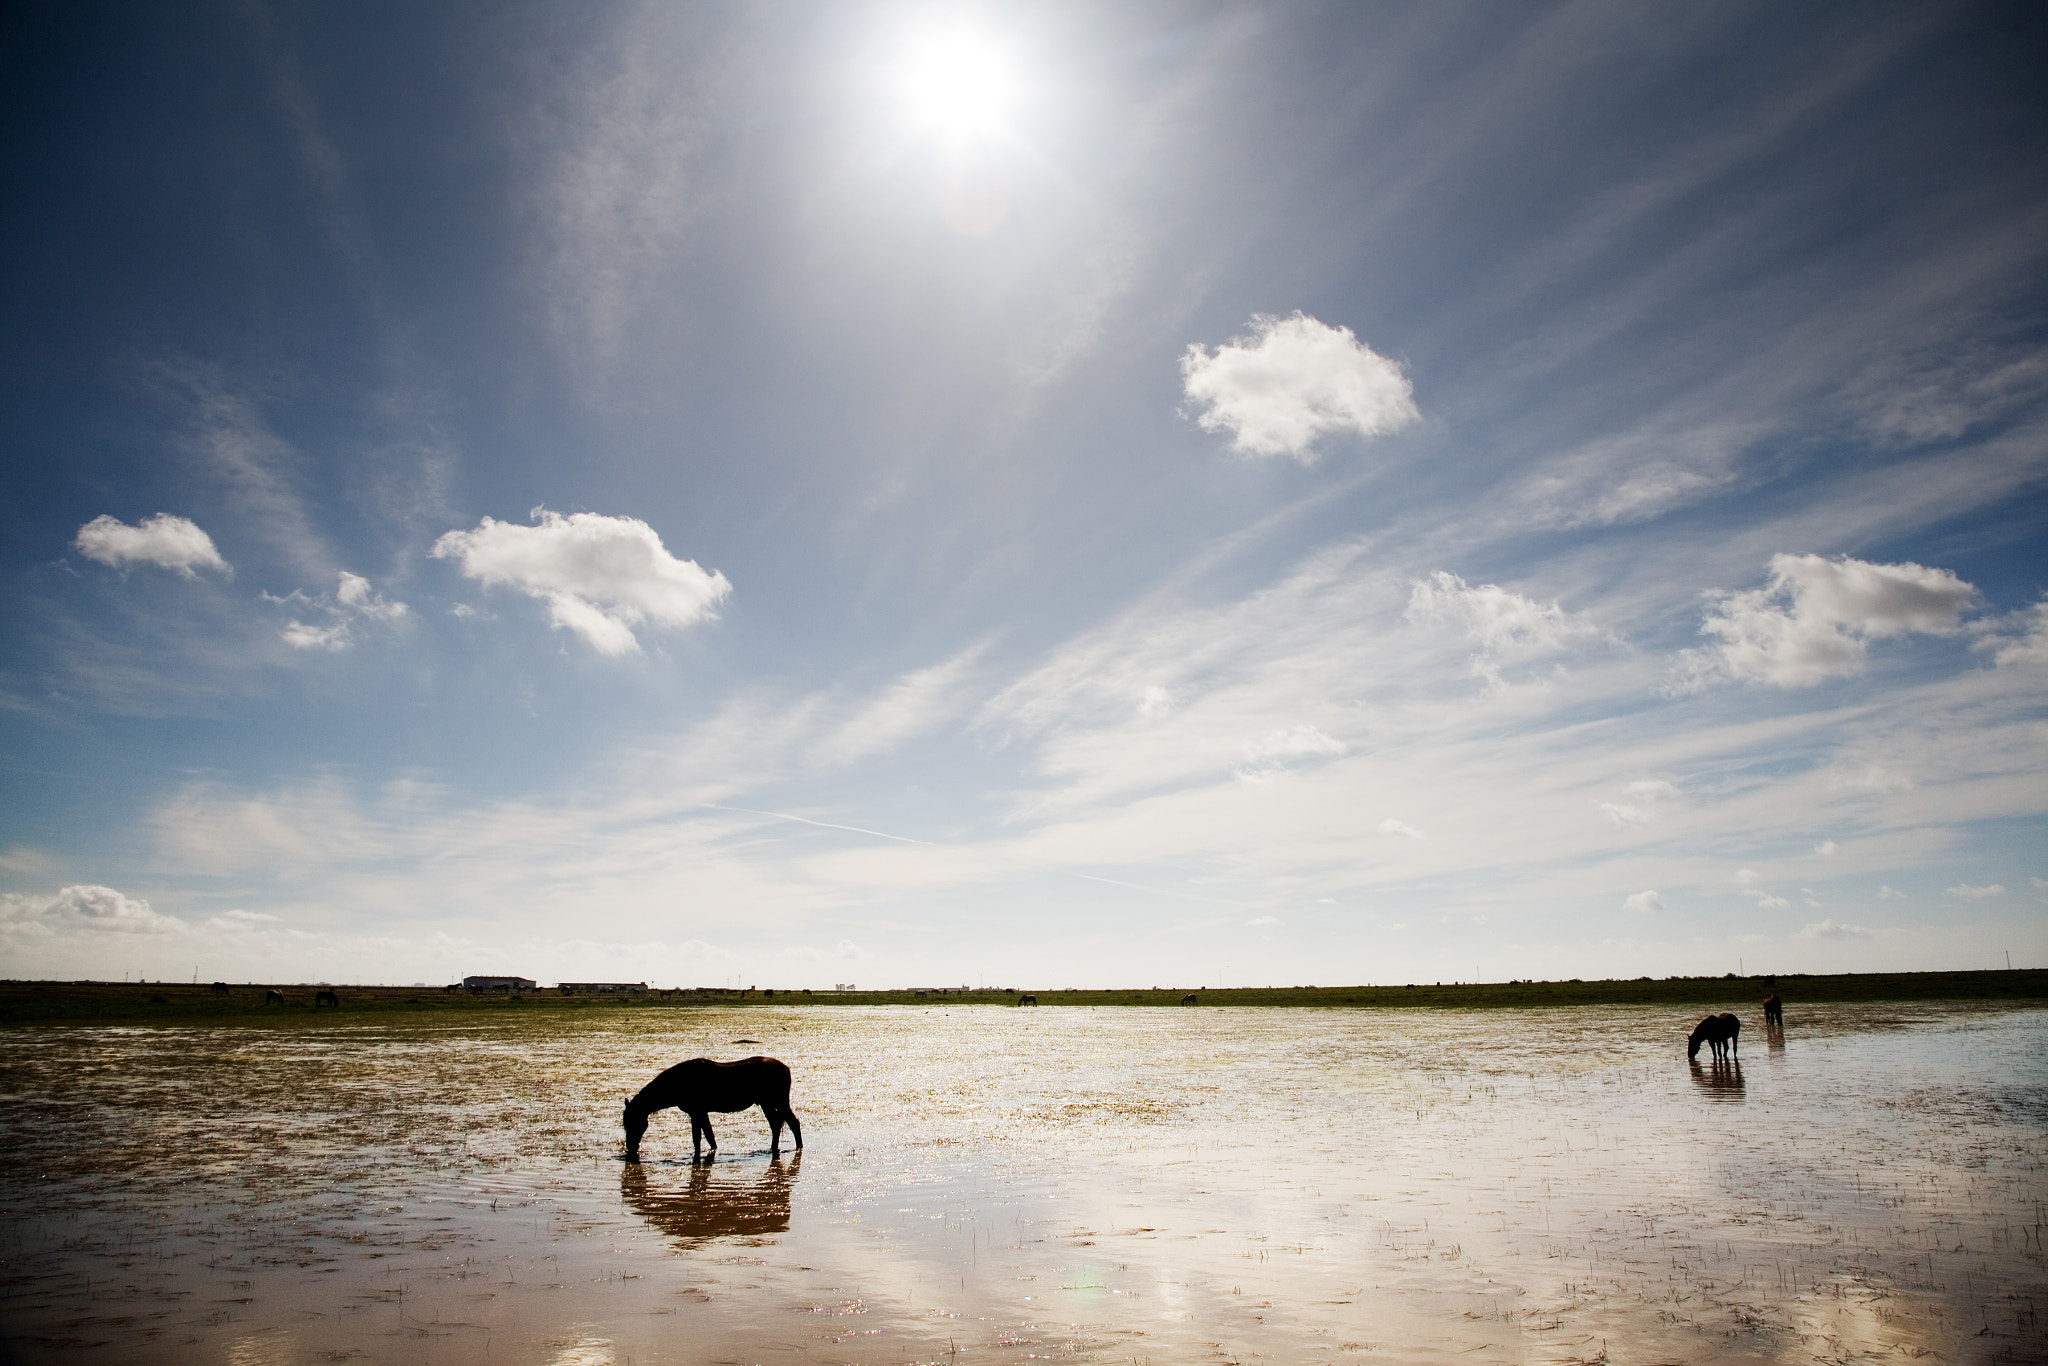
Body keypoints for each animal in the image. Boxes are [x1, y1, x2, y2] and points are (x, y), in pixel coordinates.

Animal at [623, 1056, 801, 1162]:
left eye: (633, 1123)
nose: (631, 1149)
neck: (678, 1082)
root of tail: (786, 1068)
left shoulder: (696, 1112)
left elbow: (697, 1138)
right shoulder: (700, 1112)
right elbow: (709, 1135)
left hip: (779, 1101)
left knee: (793, 1123)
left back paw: (798, 1147)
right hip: (766, 1103)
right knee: (776, 1124)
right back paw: (774, 1148)